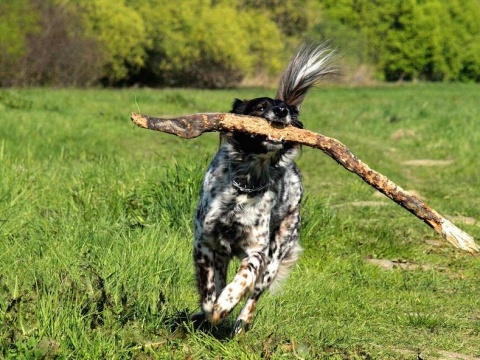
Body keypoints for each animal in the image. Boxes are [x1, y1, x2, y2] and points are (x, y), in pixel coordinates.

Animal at [193, 43, 336, 334]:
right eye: (260, 107)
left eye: (287, 110)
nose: (282, 112)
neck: (245, 182)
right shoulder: (205, 242)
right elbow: (208, 287)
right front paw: (211, 308)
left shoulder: (256, 251)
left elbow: (243, 278)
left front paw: (226, 304)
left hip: (276, 252)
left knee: (255, 294)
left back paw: (240, 322)